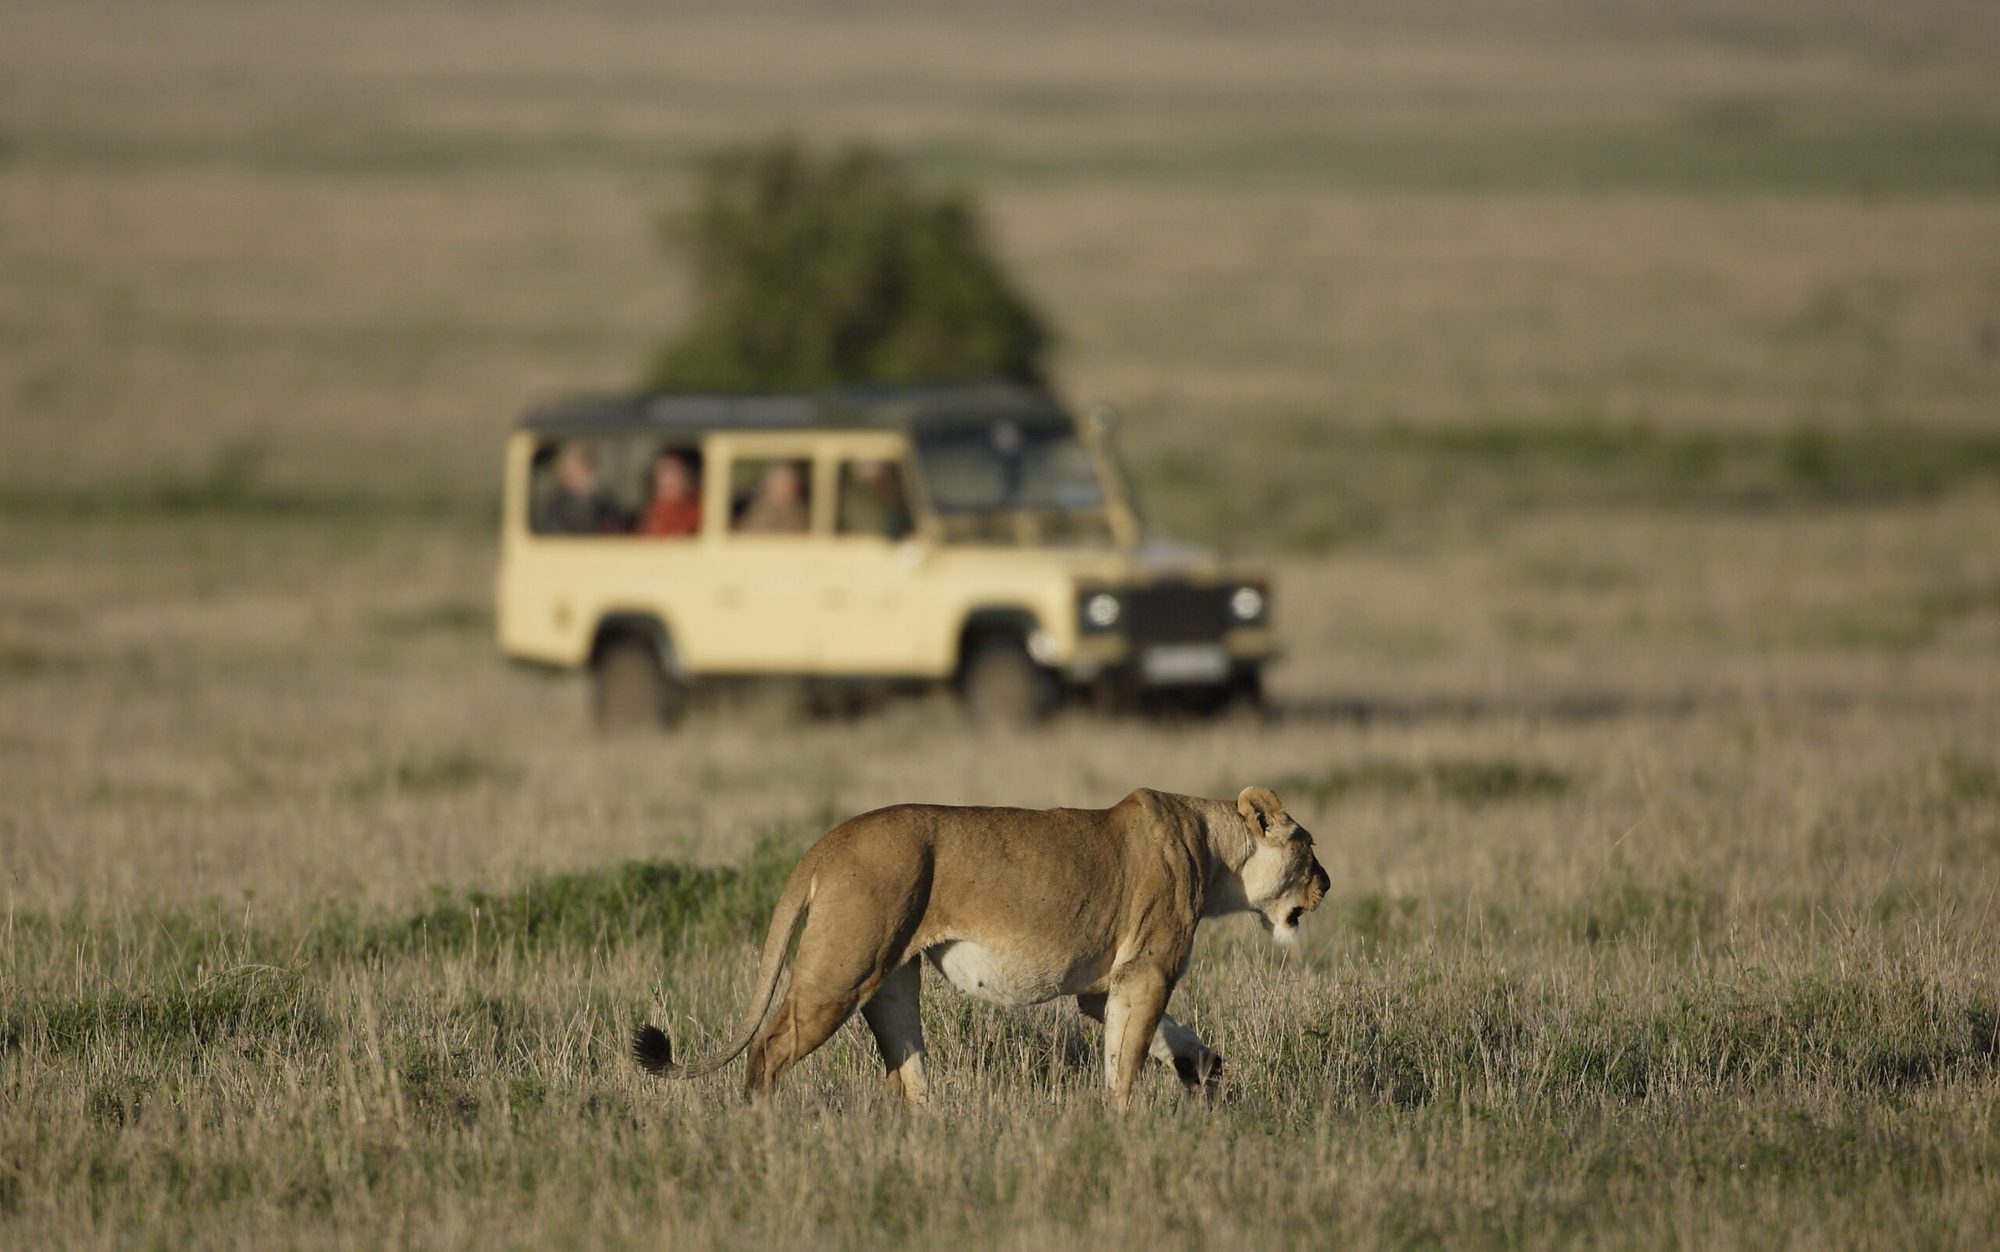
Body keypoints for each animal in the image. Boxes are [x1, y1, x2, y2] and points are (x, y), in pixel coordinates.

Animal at [631, 785, 1329, 1107]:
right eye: (1309, 846)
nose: (1327, 883)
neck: (1215, 855)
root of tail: (826, 842)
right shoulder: (1146, 971)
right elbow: (1126, 1059)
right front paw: (1123, 1126)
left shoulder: (1105, 987)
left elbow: (1162, 1037)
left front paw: (1206, 1071)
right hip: (842, 968)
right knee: (769, 1049)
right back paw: (763, 1128)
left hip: (890, 979)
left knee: (908, 1073)